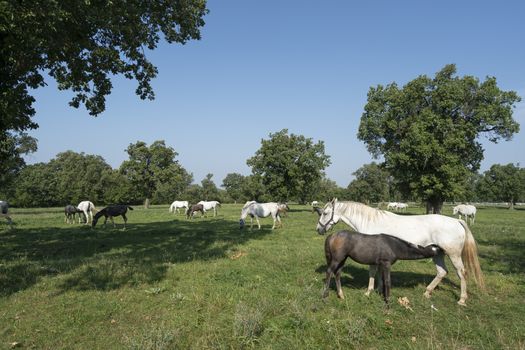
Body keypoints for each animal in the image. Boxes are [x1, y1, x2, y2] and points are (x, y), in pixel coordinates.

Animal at [316, 198, 484, 304]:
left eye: (325, 213)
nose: (319, 229)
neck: (370, 221)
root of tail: (457, 220)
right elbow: (379, 273)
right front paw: (379, 289)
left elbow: (372, 272)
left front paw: (369, 291)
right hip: (438, 253)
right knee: (442, 272)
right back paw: (427, 292)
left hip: (453, 254)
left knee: (461, 273)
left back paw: (462, 299)